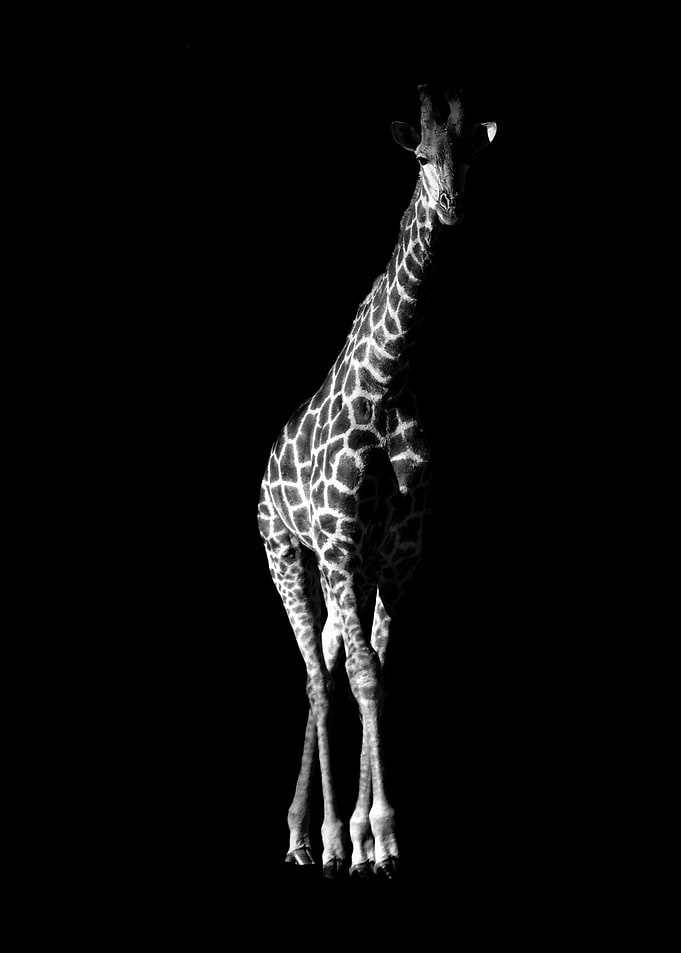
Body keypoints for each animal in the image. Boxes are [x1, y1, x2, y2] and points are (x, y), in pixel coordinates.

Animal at [257, 84, 497, 879]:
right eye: (420, 156)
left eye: (470, 153)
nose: (451, 204)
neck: (387, 384)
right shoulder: (336, 546)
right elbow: (364, 677)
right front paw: (368, 838)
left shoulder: (397, 557)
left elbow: (379, 676)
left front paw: (375, 840)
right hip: (288, 554)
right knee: (315, 675)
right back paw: (314, 840)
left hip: (346, 570)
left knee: (329, 666)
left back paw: (312, 833)